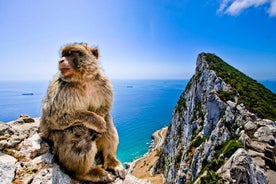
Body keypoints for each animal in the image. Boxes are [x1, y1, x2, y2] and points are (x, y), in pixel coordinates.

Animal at [38, 42, 125, 183]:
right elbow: (54, 117)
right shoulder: (62, 88)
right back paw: (85, 173)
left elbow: (105, 108)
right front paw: (96, 122)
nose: (60, 60)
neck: (83, 79)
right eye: (63, 55)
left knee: (108, 120)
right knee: (78, 130)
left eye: (70, 54)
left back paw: (111, 160)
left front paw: (100, 121)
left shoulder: (104, 83)